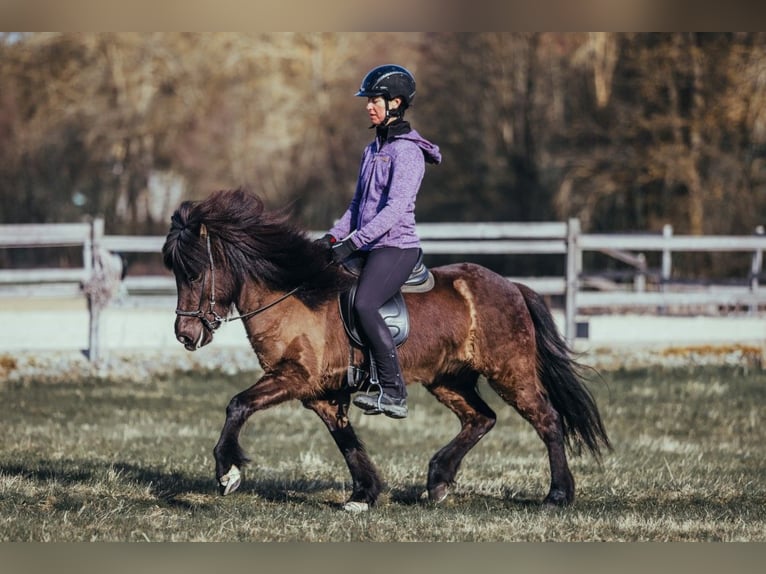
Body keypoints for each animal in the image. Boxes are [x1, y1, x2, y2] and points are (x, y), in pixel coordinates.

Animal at [162, 188, 610, 511]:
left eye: (194, 273)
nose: (185, 334)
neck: (294, 296)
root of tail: (512, 286)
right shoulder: (320, 393)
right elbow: (346, 441)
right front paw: (364, 494)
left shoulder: (294, 377)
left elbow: (237, 405)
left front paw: (227, 473)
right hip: (447, 378)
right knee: (481, 418)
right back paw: (438, 481)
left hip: (509, 371)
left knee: (547, 419)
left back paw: (557, 495)